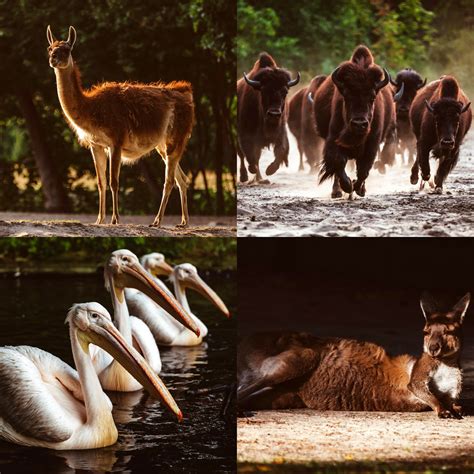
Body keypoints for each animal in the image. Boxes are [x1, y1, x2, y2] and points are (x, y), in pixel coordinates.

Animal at [237, 53, 300, 183]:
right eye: (263, 91)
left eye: (285, 92)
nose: (274, 114)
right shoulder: (245, 134)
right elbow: (249, 154)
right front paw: (252, 169)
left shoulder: (281, 131)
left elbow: (281, 150)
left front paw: (270, 170)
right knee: (242, 155)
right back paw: (245, 176)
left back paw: (261, 178)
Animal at [312, 45, 394, 197]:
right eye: (346, 96)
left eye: (372, 97)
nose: (359, 124)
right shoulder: (333, 140)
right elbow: (338, 162)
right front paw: (347, 186)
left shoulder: (372, 144)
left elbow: (363, 169)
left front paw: (359, 188)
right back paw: (337, 191)